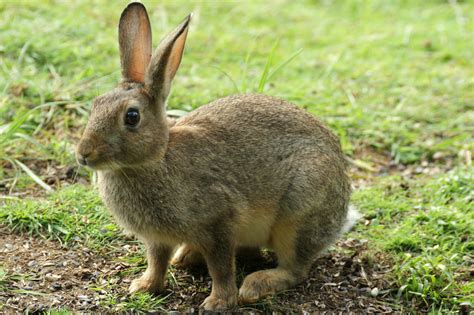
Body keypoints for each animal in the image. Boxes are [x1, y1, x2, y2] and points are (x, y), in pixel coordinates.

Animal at [77, 1, 360, 314]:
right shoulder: (157, 238)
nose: (83, 154)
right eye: (96, 105)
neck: (156, 160)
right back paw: (186, 256)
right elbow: (157, 262)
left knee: (294, 268)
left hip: (298, 212)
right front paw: (144, 286)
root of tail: (340, 215)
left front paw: (218, 302)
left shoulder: (219, 222)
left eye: (132, 117)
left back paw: (255, 285)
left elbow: (221, 267)